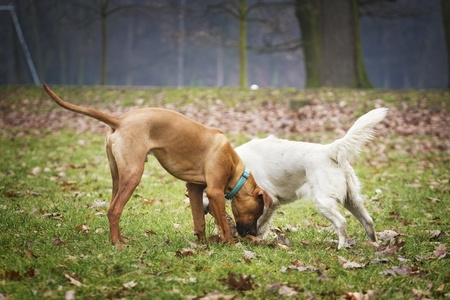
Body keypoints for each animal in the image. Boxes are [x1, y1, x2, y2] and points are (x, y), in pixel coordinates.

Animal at [44, 84, 272, 246]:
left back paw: (119, 238)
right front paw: (231, 245)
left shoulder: (194, 189)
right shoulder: (215, 192)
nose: (253, 234)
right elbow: (223, 223)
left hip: (117, 176)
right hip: (133, 174)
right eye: (257, 213)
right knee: (114, 210)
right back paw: (117, 244)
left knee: (111, 207)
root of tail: (119, 120)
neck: (235, 167)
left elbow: (199, 220)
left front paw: (203, 244)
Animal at [204, 108, 386, 248]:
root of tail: (330, 150)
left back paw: (341, 247)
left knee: (341, 222)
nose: (206, 209)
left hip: (323, 202)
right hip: (352, 200)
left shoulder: (268, 201)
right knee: (368, 221)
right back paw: (374, 245)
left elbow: (258, 223)